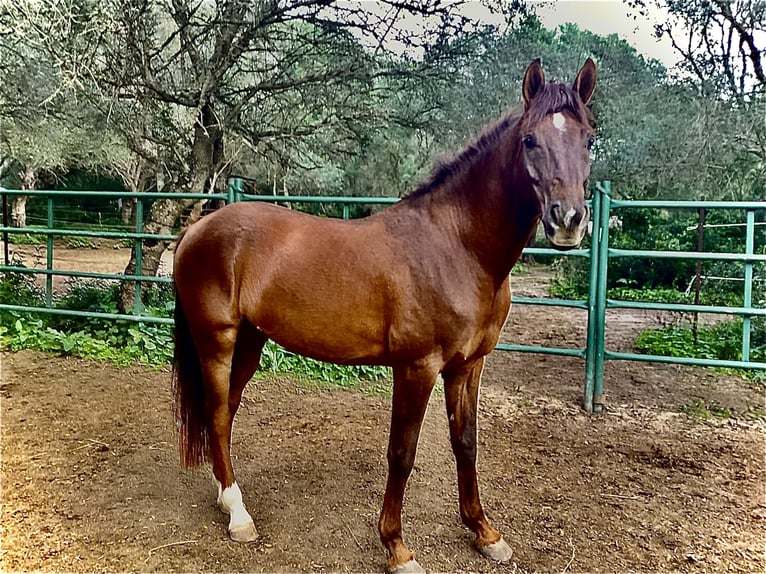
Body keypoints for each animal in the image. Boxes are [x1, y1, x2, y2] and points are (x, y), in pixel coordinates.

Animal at [174, 59, 600, 574]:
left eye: (589, 139)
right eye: (530, 140)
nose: (568, 220)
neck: (456, 247)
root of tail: (198, 229)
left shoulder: (467, 366)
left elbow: (466, 443)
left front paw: (484, 532)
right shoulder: (417, 368)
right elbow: (402, 453)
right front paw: (397, 547)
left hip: (251, 341)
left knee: (227, 411)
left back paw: (226, 495)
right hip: (216, 340)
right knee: (217, 414)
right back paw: (239, 516)